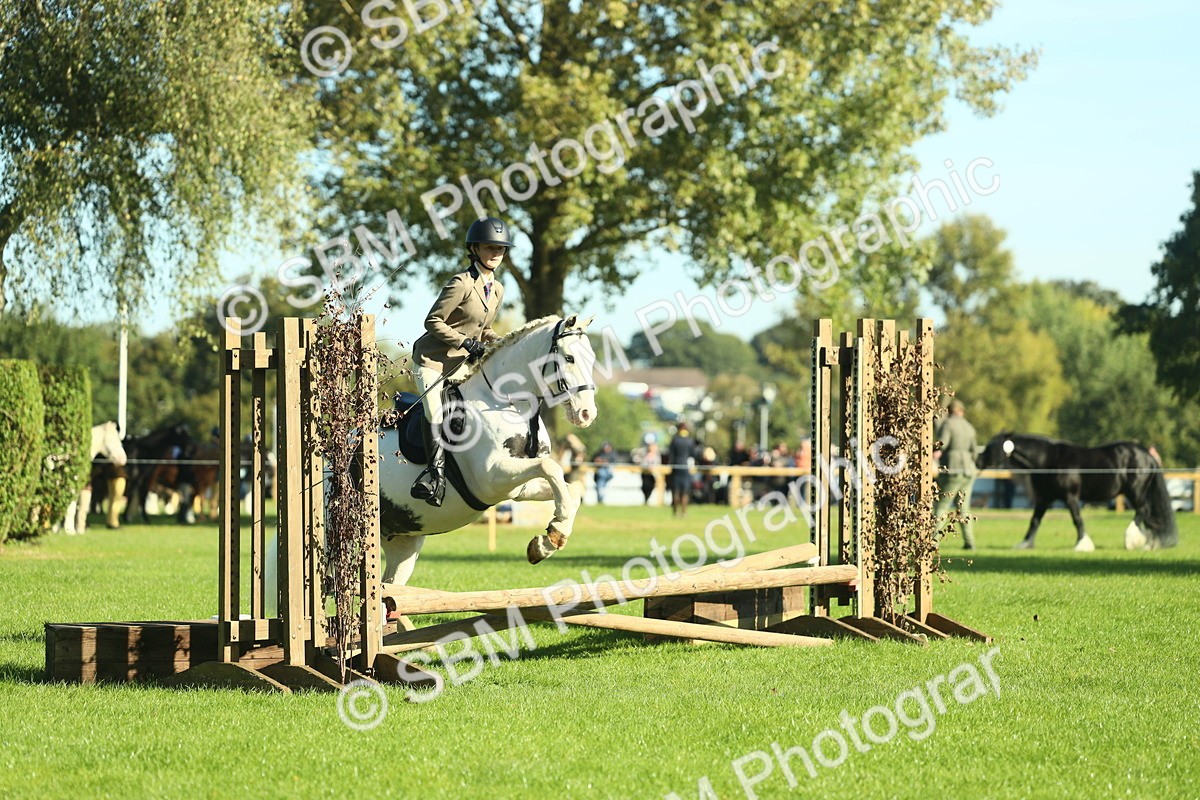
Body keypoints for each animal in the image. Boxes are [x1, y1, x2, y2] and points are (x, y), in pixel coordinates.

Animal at [379, 314, 598, 587]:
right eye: (569, 358)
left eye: (592, 358)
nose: (587, 414)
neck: (506, 401)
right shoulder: (491, 478)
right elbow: (551, 467)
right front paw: (553, 535)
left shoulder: (519, 486)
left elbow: (571, 489)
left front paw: (546, 542)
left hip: (404, 538)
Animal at [977, 433, 1178, 551]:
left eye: (990, 447)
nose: (978, 461)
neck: (1049, 460)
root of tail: (1147, 454)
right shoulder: (1044, 499)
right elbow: (1034, 521)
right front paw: (1025, 543)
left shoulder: (1070, 497)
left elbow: (1077, 519)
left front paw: (1082, 544)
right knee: (1149, 517)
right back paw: (1149, 543)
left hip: (1135, 492)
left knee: (1142, 511)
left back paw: (1131, 540)